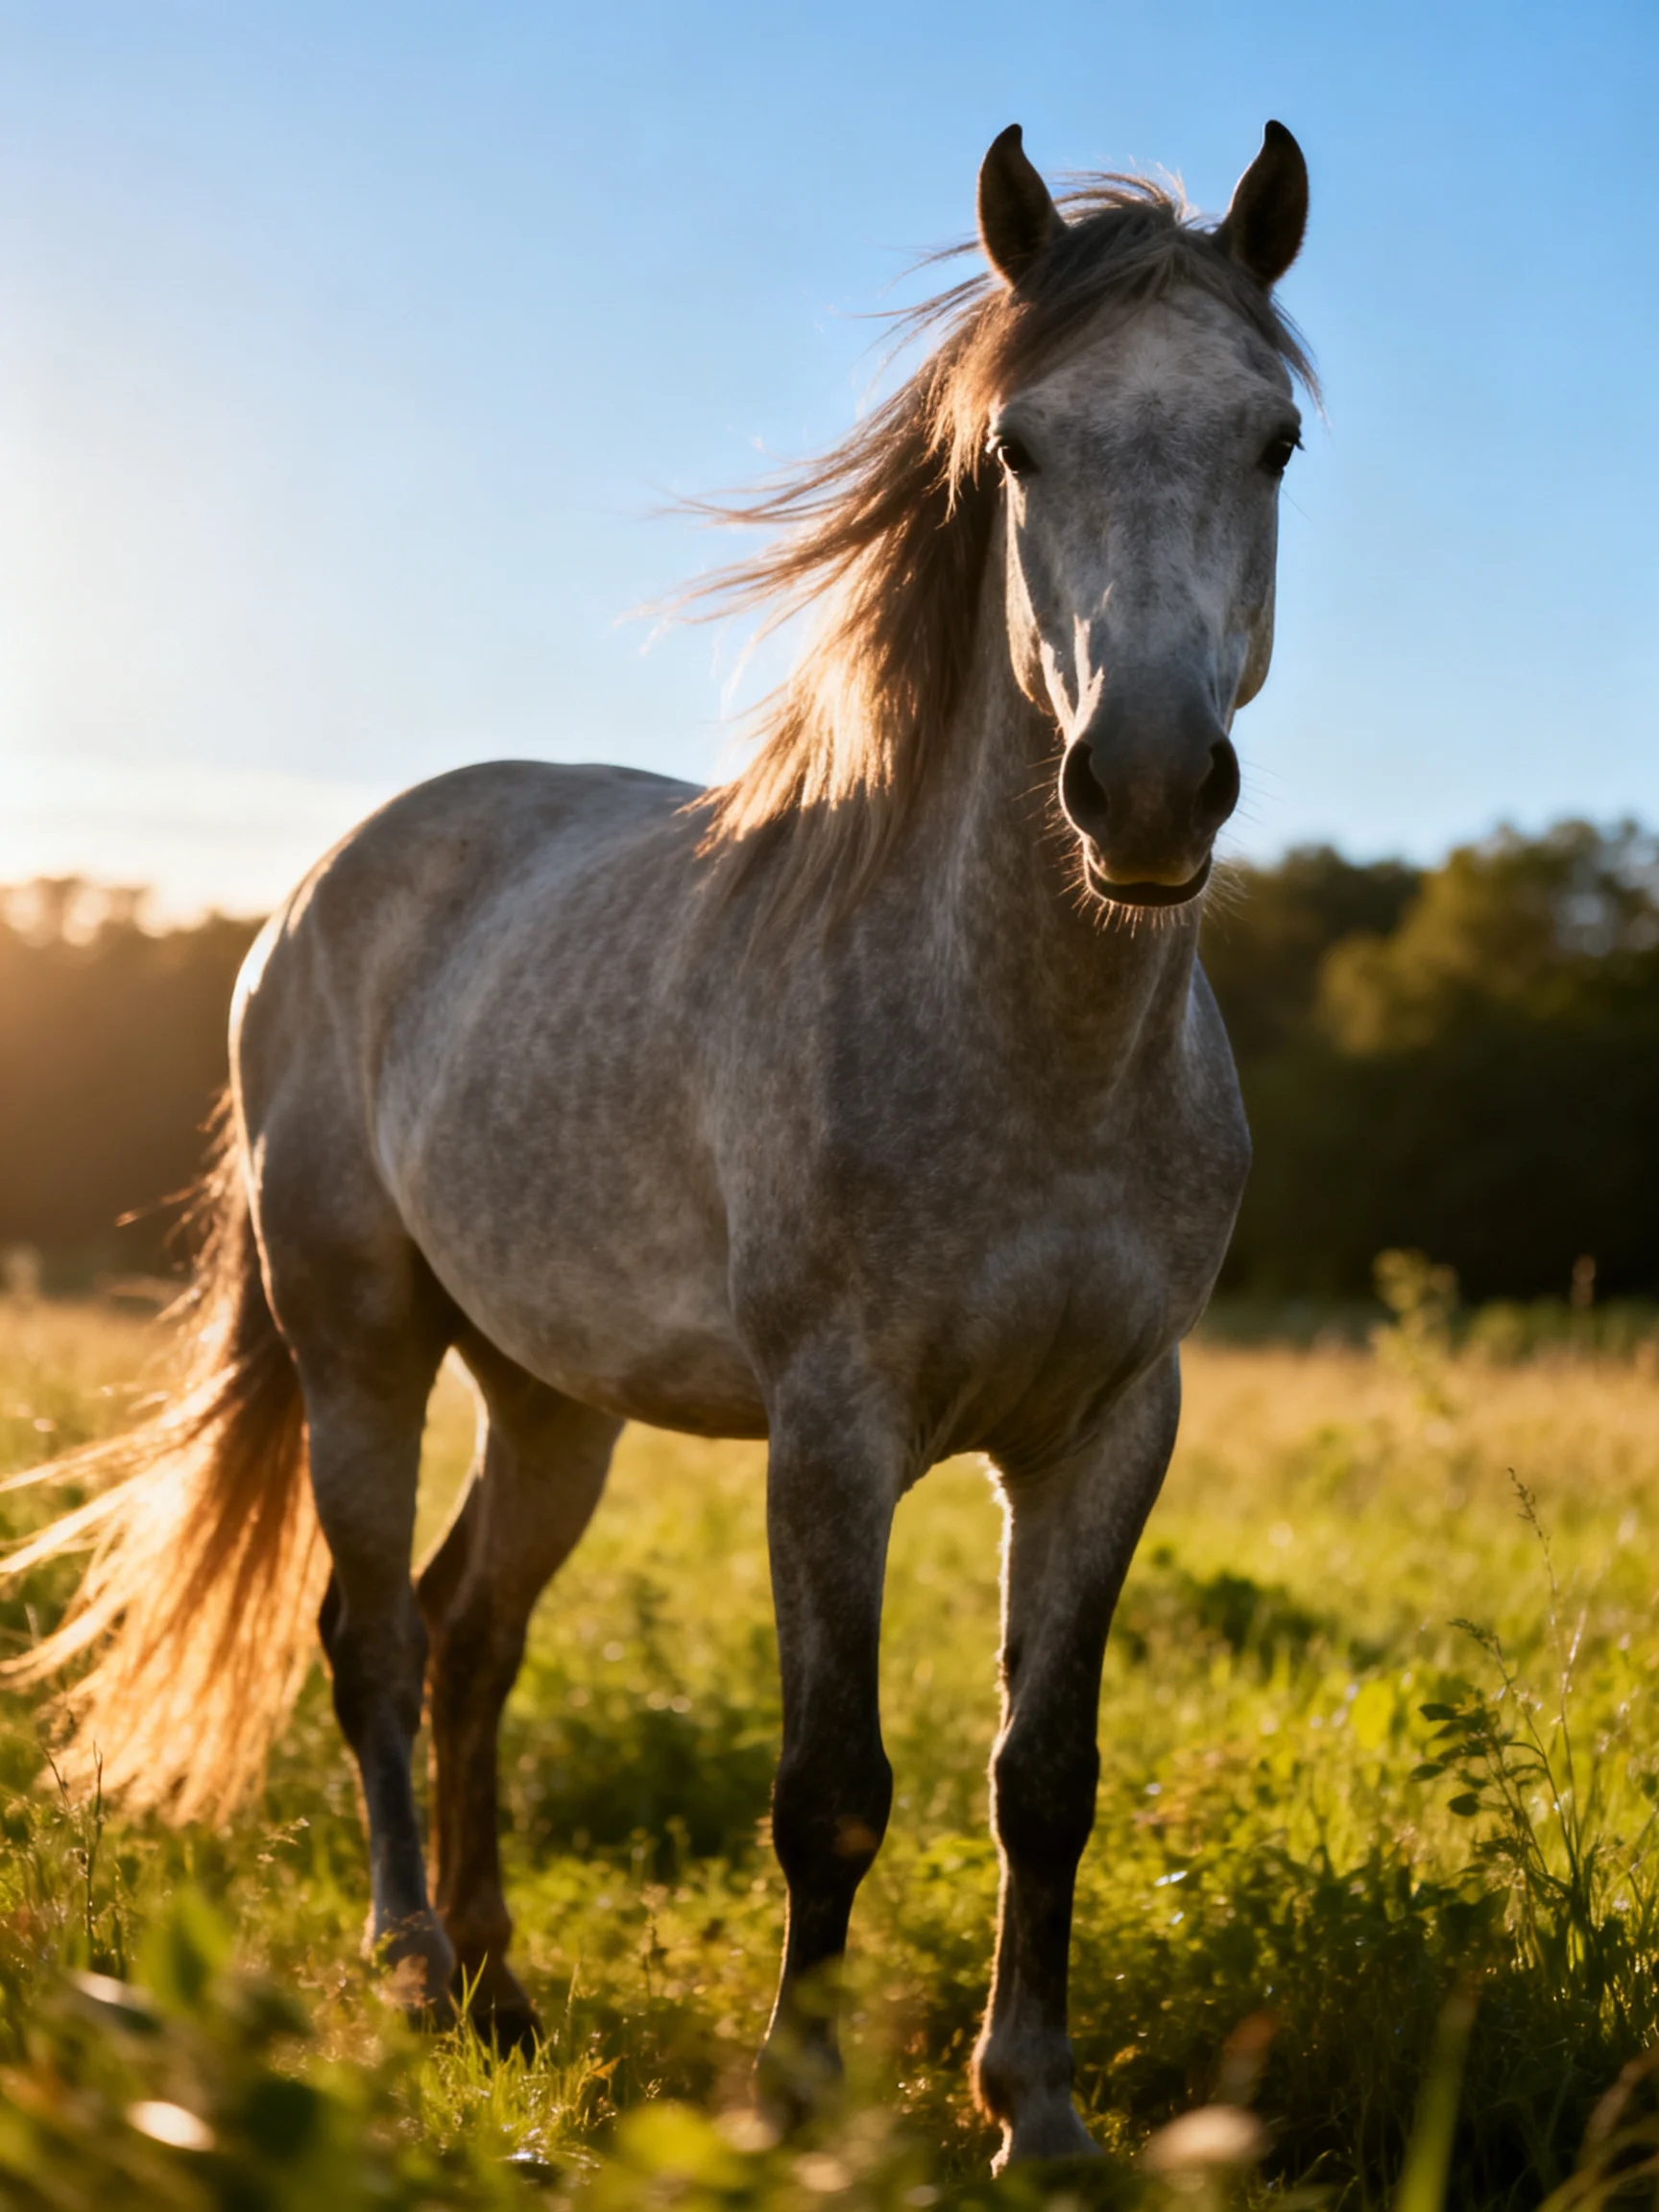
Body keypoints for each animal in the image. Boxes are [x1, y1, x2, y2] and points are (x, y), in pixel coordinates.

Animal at [4, 119, 1313, 2167]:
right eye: (1018, 447)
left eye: (1271, 441)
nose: (1149, 785)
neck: (1030, 1048)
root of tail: (317, 886)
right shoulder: (833, 1427)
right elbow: (831, 1782)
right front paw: (798, 2100)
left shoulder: (1111, 1422)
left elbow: (1045, 1770)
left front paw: (1036, 2110)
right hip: (361, 1344)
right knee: (371, 1635)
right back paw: (410, 1958)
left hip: (551, 1398)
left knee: (468, 1631)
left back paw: (498, 1976)